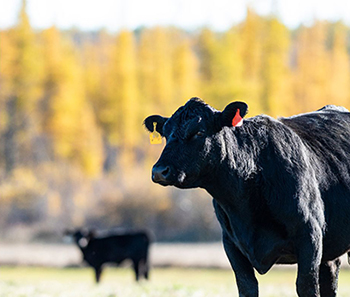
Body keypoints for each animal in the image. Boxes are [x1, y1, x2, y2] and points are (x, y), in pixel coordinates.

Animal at [144, 97, 350, 296]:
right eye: (165, 134)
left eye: (199, 132)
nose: (159, 171)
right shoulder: (231, 244)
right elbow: (246, 286)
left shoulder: (310, 236)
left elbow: (306, 286)